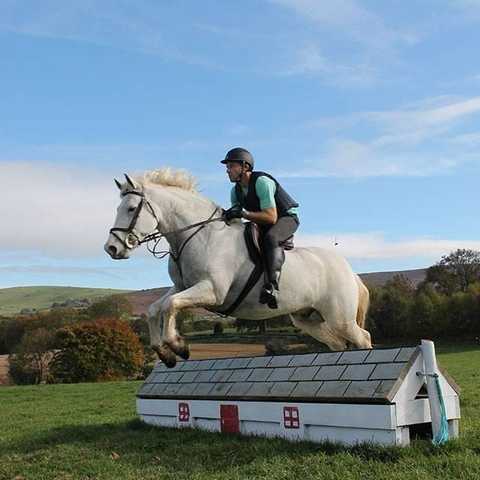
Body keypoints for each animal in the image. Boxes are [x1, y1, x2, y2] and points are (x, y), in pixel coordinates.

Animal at [105, 169, 374, 368]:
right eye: (117, 209)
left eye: (131, 209)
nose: (111, 248)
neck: (198, 234)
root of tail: (350, 271)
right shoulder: (182, 286)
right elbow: (156, 308)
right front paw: (166, 353)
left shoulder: (211, 290)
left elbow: (170, 305)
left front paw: (178, 346)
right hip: (307, 318)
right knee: (337, 344)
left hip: (339, 317)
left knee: (363, 338)